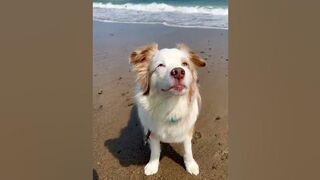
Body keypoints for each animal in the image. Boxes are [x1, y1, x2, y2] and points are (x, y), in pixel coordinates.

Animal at [129, 43, 206, 175]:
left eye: (185, 64)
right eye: (160, 65)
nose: (179, 71)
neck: (171, 106)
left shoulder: (187, 131)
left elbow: (188, 150)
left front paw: (191, 165)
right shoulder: (152, 132)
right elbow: (155, 151)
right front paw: (152, 166)